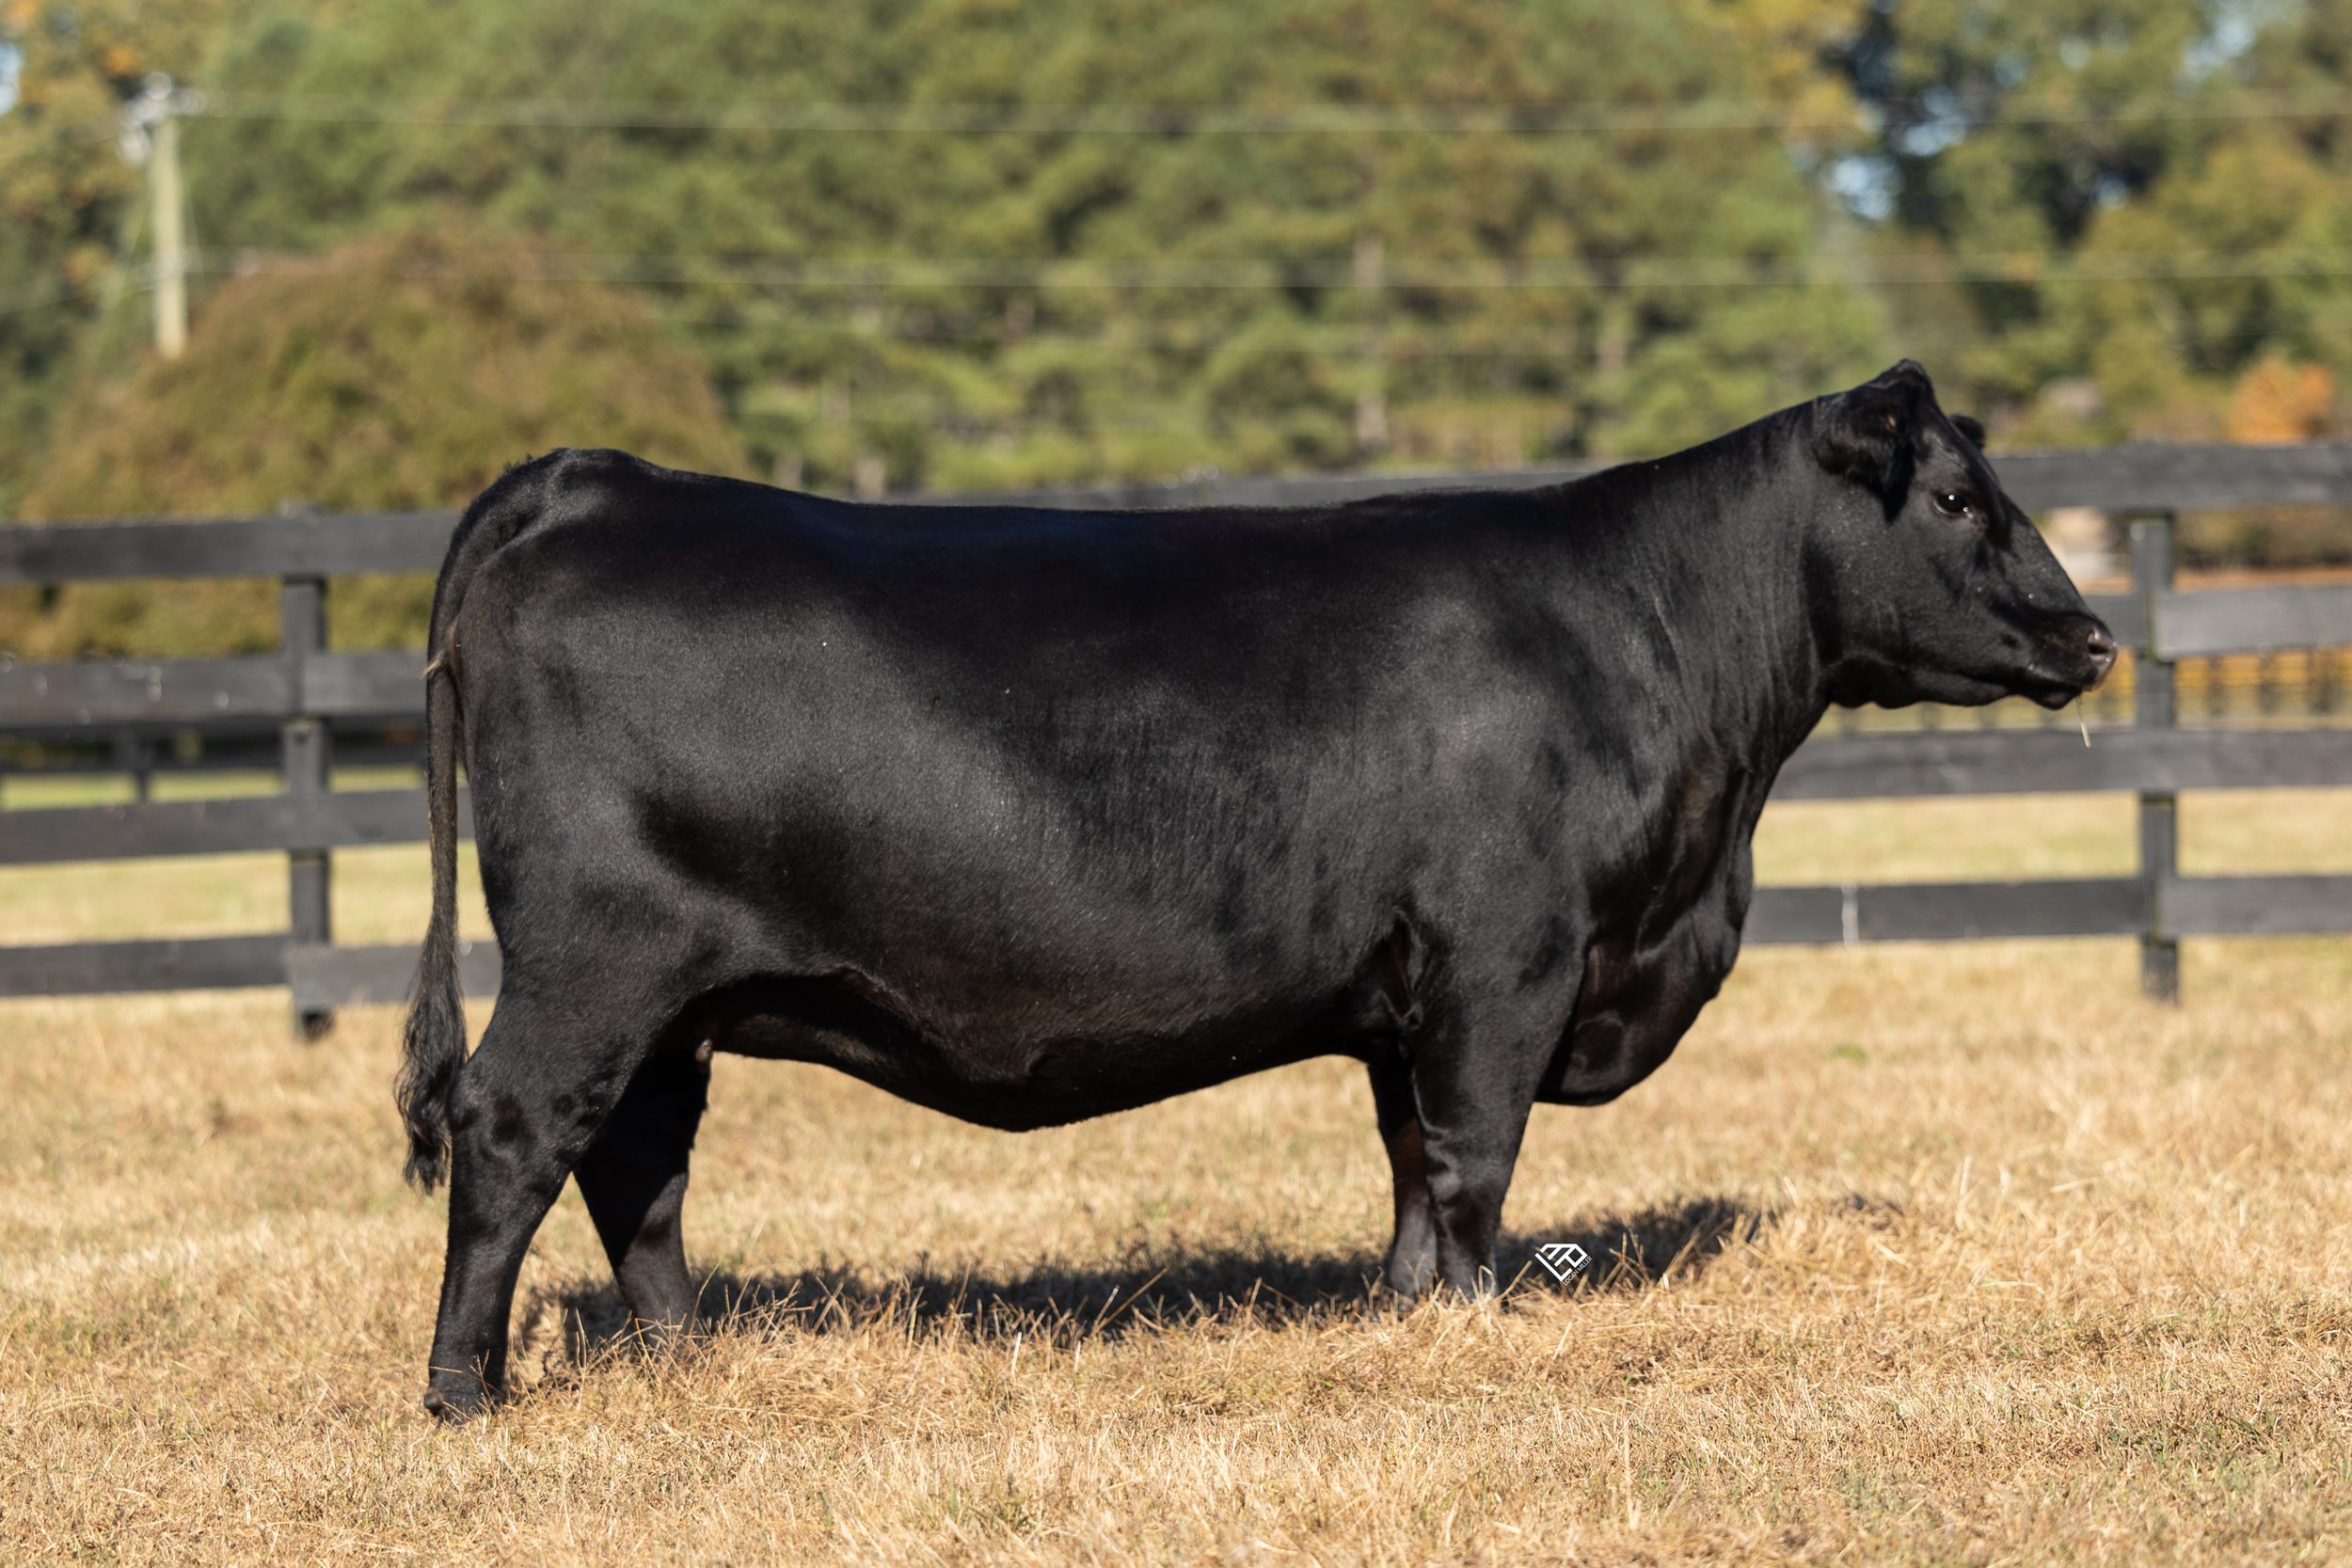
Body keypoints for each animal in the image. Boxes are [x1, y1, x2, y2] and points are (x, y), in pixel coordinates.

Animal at [396, 360, 2115, 1418]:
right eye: (1957, 498)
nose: (2092, 635)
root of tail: (592, 480)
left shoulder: (1409, 992)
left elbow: (1411, 1161)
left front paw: (1407, 1317)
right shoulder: (1507, 957)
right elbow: (1476, 1156)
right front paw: (1474, 1325)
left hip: (669, 996)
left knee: (638, 1162)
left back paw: (688, 1361)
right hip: (594, 960)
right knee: (516, 1129)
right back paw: (466, 1388)